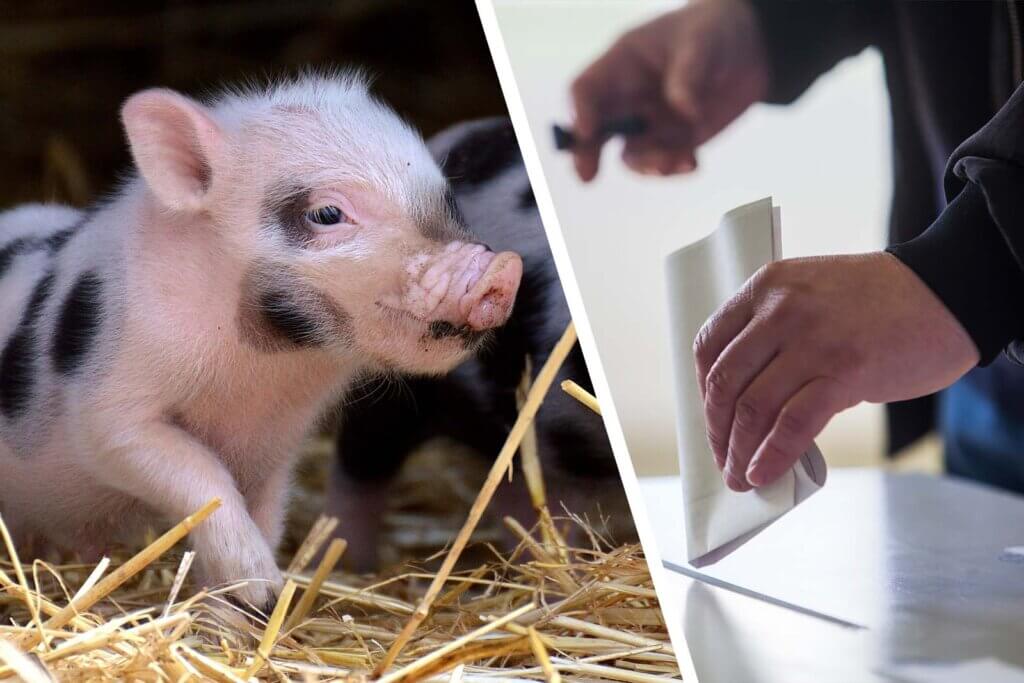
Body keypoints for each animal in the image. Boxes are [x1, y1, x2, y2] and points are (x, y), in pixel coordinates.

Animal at [0, 75, 522, 613]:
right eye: (327, 213)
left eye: (447, 200)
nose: (500, 271)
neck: (260, 373)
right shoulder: (111, 407)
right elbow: (200, 476)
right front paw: (261, 588)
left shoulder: (280, 444)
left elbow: (267, 514)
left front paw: (247, 609)